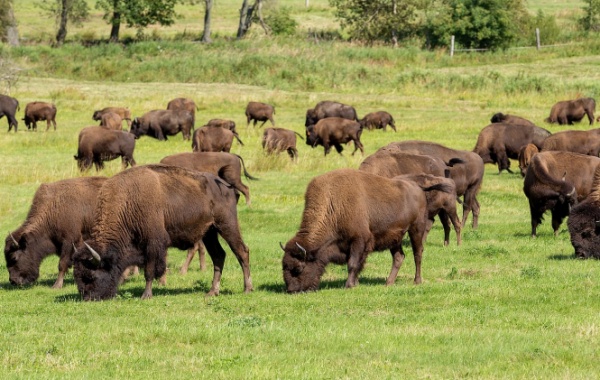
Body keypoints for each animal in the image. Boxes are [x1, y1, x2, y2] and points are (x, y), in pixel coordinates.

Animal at [71, 165, 252, 302]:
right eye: (77, 276)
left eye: (90, 275)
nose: (87, 298)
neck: (128, 201)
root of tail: (227, 186)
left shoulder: (153, 243)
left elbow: (149, 270)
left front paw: (146, 295)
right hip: (209, 233)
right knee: (219, 256)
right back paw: (212, 291)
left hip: (227, 225)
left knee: (242, 251)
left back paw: (247, 289)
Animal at [282, 168, 450, 294]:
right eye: (284, 266)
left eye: (298, 268)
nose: (291, 290)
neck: (333, 204)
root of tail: (418, 187)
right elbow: (356, 263)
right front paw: (355, 283)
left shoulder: (359, 240)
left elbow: (353, 263)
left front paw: (349, 285)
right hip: (395, 237)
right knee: (399, 257)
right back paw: (388, 283)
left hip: (416, 228)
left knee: (417, 253)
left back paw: (417, 281)